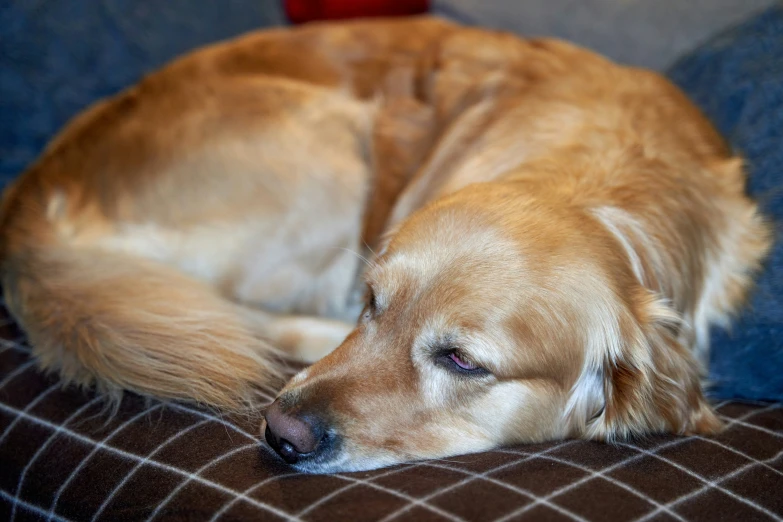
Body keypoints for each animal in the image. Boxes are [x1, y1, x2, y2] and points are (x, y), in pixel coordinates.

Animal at [0, 17, 772, 472]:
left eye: (462, 361)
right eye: (372, 300)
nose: (281, 432)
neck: (604, 183)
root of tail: (35, 187)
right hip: (331, 149)